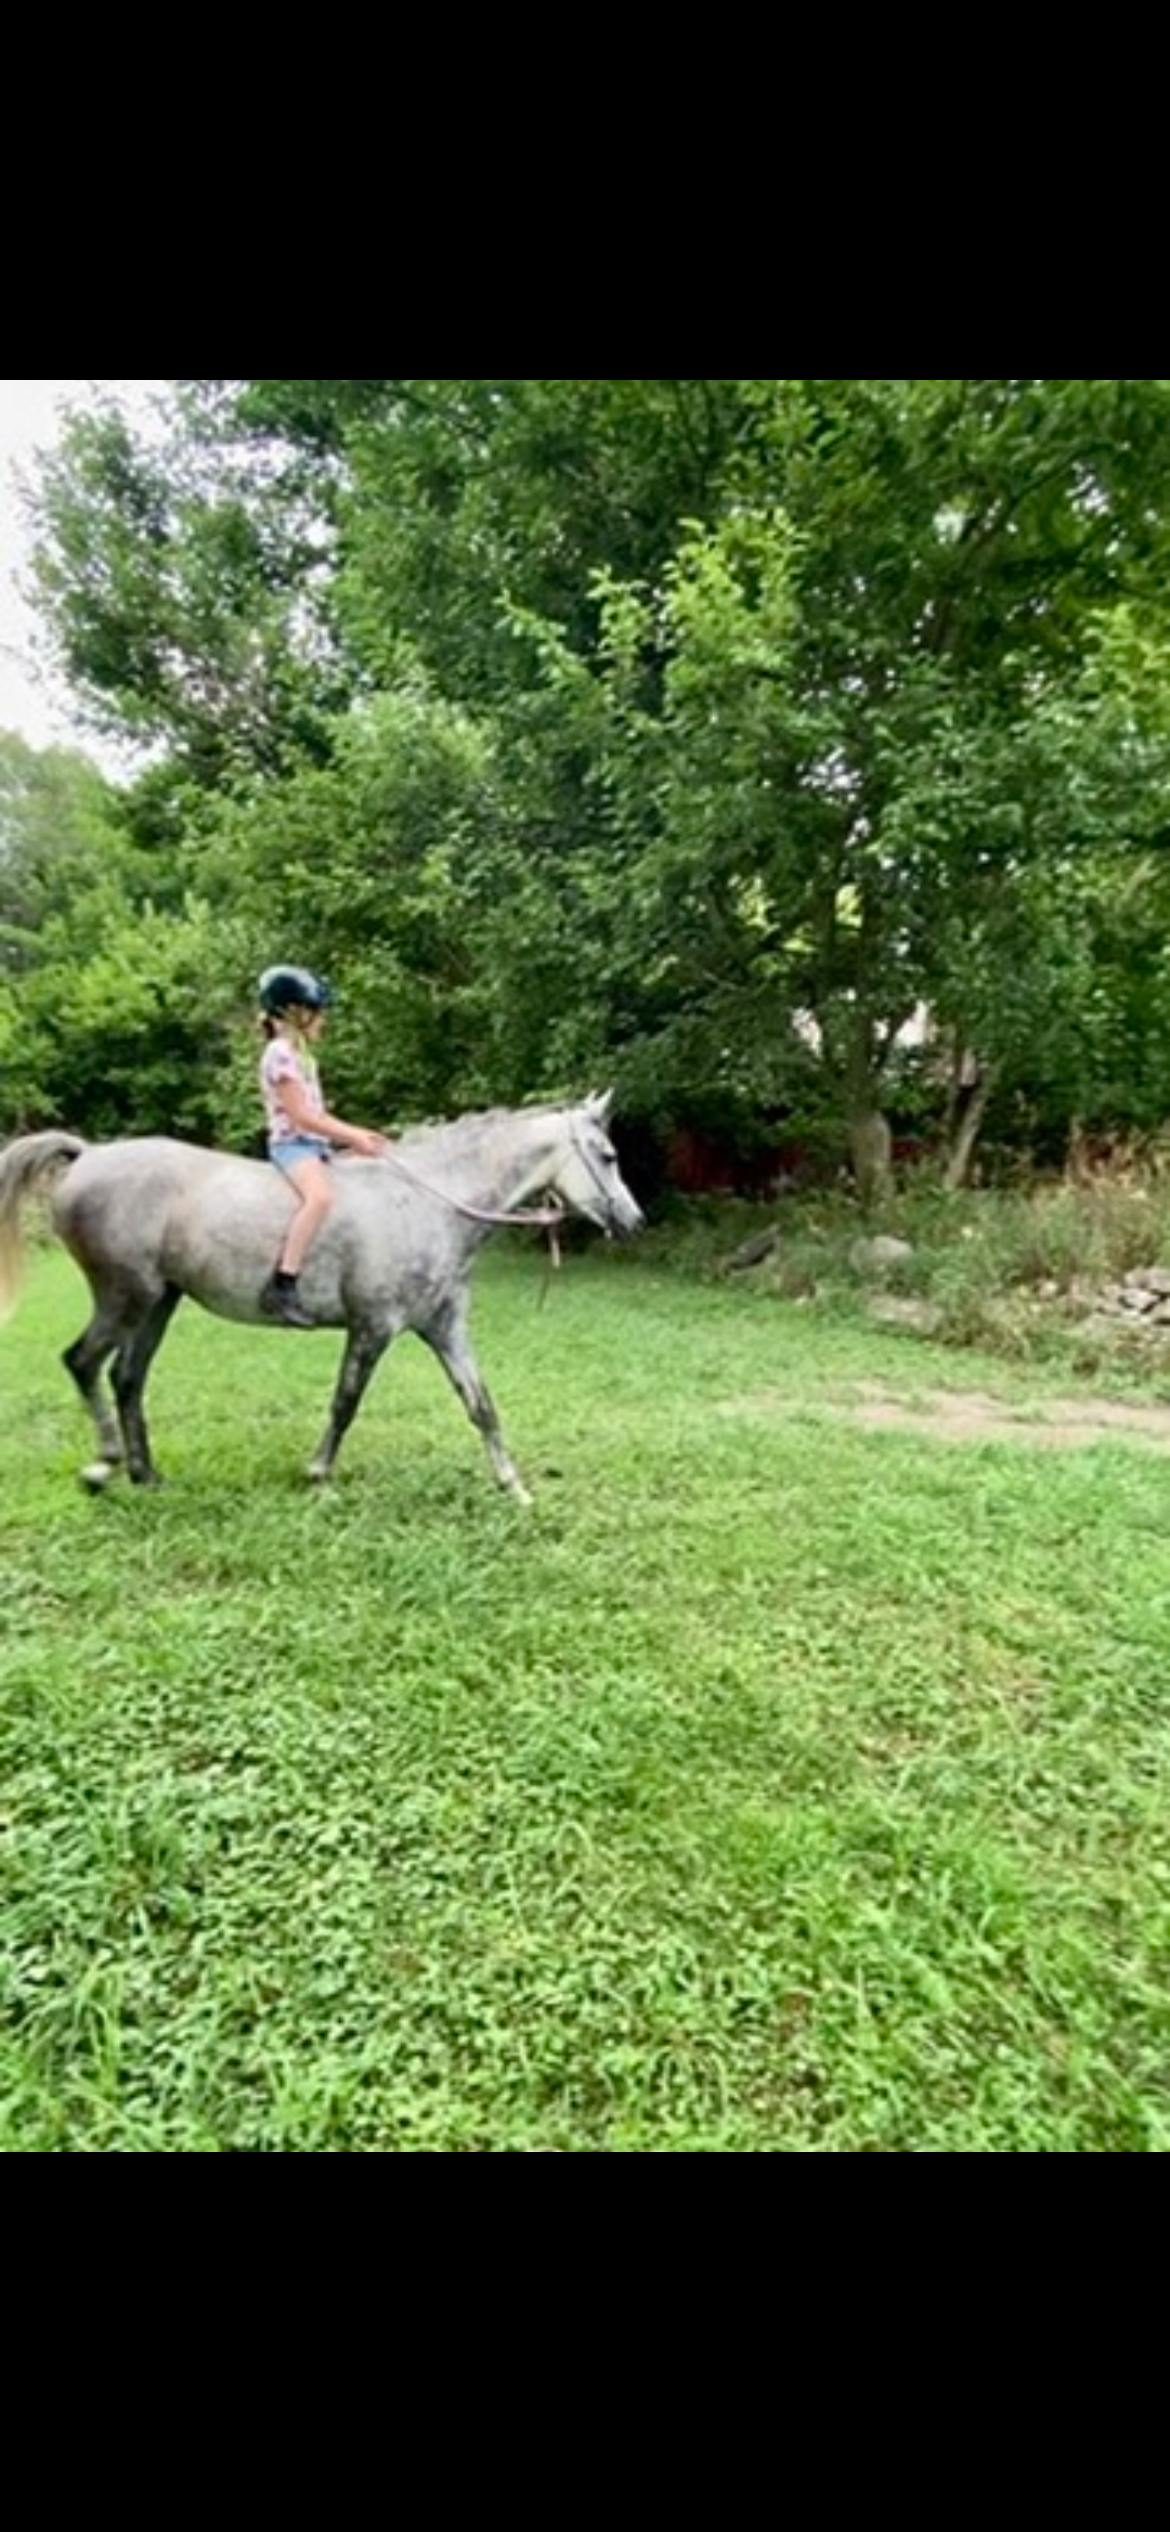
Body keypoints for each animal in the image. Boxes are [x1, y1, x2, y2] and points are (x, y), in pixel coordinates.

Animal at [0, 1093, 644, 1502]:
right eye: (607, 1156)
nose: (634, 1221)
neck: (426, 1202)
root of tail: (89, 1154)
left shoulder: (445, 1327)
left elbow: (481, 1405)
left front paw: (514, 1487)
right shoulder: (373, 1327)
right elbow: (345, 1403)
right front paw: (317, 1475)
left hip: (159, 1301)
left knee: (126, 1378)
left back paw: (145, 1476)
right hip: (124, 1297)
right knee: (84, 1363)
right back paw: (102, 1468)